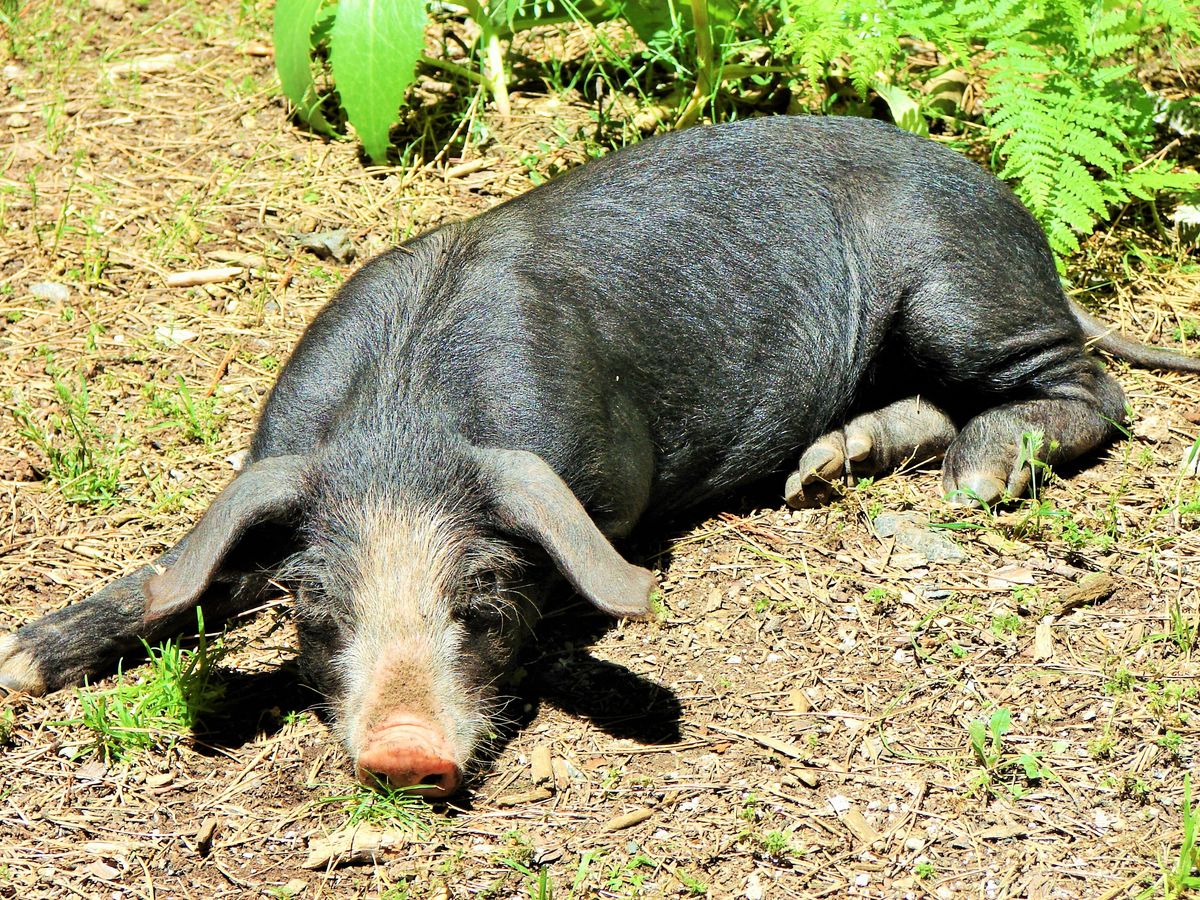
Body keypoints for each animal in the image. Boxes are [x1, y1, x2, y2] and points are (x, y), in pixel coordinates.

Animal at [2, 114, 1200, 796]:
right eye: (319, 608)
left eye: (480, 602)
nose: (404, 749)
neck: (401, 428)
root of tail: (1015, 206)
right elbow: (189, 576)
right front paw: (21, 658)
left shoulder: (609, 493)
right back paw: (824, 467)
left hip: (961, 291)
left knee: (1094, 391)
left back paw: (970, 483)